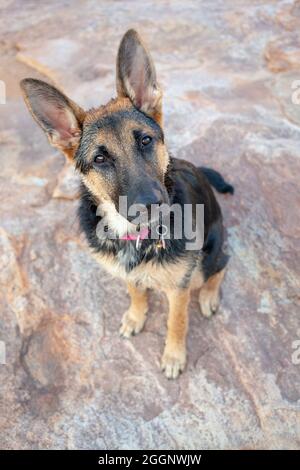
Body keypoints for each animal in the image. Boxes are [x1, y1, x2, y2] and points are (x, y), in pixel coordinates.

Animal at [21, 29, 233, 380]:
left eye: (145, 140)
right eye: (100, 159)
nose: (153, 205)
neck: (134, 236)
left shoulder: (179, 288)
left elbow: (177, 321)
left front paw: (173, 355)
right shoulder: (126, 271)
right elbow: (135, 290)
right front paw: (136, 315)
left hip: (209, 255)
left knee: (221, 267)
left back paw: (209, 296)